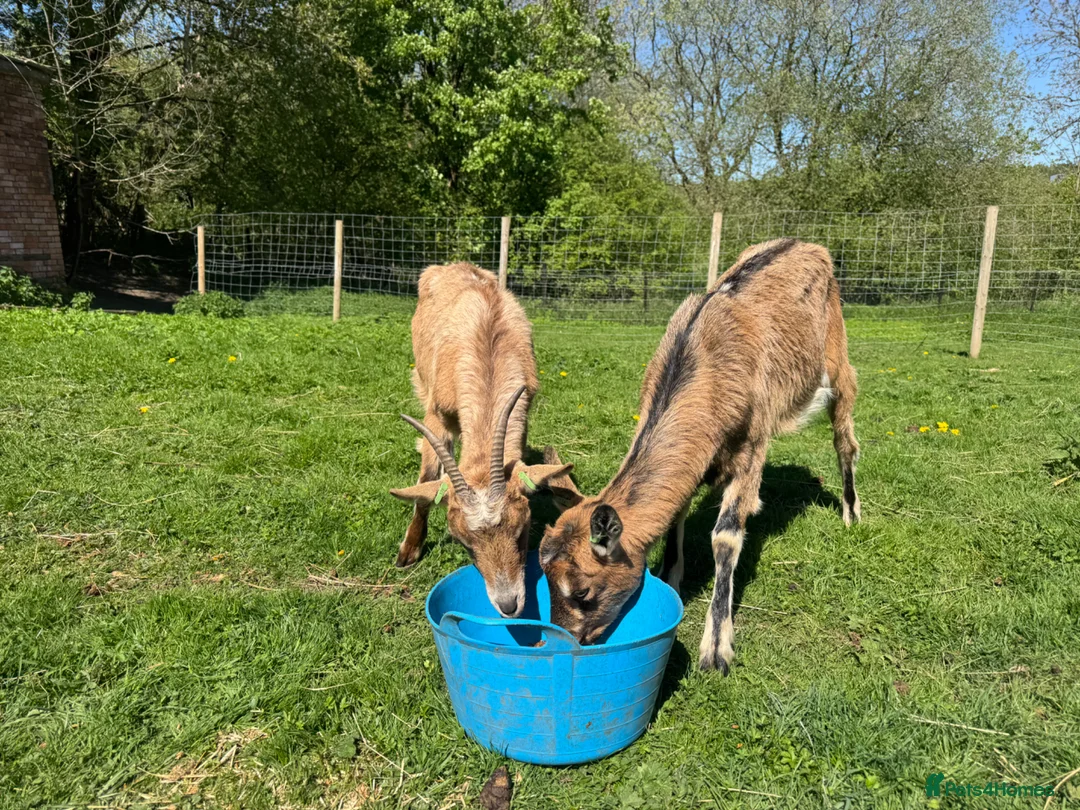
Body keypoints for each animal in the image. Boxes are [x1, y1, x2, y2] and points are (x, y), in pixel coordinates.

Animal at [390, 262, 571, 618]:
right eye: (466, 545)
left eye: (522, 532)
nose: (509, 605)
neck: (487, 342)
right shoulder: (437, 414)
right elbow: (426, 480)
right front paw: (409, 550)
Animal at [538, 239, 861, 672]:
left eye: (583, 592)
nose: (566, 641)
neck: (707, 370)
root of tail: (808, 245)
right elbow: (677, 513)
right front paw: (668, 575)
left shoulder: (752, 445)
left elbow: (725, 536)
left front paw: (717, 647)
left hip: (838, 361)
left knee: (846, 439)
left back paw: (851, 512)